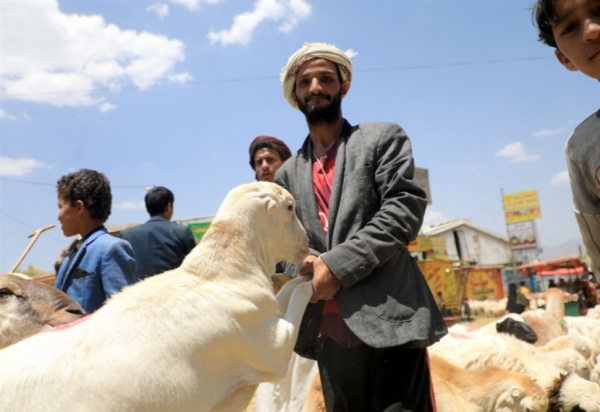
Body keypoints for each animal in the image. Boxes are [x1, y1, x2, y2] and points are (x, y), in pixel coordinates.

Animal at [0, 183, 314, 412]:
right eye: (290, 207)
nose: (308, 242)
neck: (221, 271)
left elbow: (285, 292)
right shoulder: (273, 348)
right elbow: (297, 294)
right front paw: (311, 277)